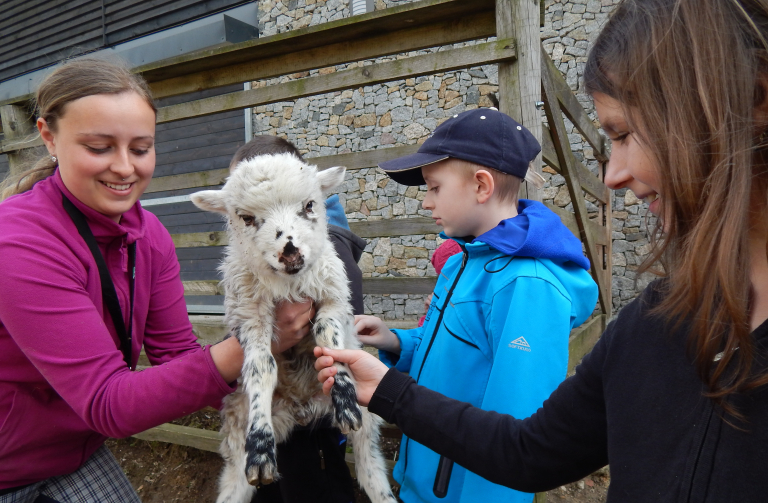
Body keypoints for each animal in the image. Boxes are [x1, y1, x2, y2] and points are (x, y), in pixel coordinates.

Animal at [190, 154, 396, 503]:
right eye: (246, 217)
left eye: (310, 204)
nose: (290, 253)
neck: (289, 284)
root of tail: (302, 410)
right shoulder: (250, 314)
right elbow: (261, 367)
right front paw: (261, 451)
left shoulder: (333, 296)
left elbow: (327, 334)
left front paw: (344, 398)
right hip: (238, 424)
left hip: (369, 417)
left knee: (370, 469)